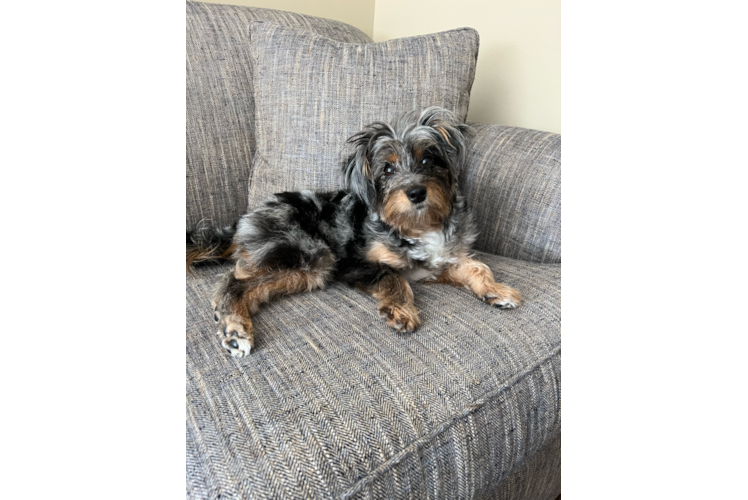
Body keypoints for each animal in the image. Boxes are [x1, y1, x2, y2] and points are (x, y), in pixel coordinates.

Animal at [186, 105, 524, 358]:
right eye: (387, 169)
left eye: (429, 158)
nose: (416, 192)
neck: (416, 225)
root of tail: (245, 217)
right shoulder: (354, 264)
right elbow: (394, 277)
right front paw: (400, 310)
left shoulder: (439, 262)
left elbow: (477, 266)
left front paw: (497, 289)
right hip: (313, 256)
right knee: (233, 281)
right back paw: (235, 329)